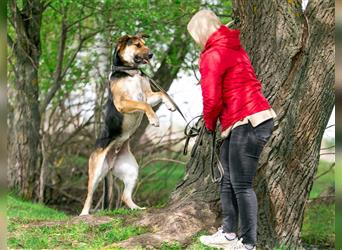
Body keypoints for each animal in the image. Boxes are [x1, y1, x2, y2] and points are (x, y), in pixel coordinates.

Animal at [81, 33, 176, 216]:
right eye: (138, 45)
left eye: (145, 43)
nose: (151, 54)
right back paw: (84, 214)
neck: (131, 72)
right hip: (96, 171)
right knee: (88, 195)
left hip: (131, 170)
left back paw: (137, 208)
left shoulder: (148, 96)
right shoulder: (124, 102)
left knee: (125, 197)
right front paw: (154, 119)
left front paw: (170, 105)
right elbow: (144, 106)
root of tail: (111, 162)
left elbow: (161, 93)